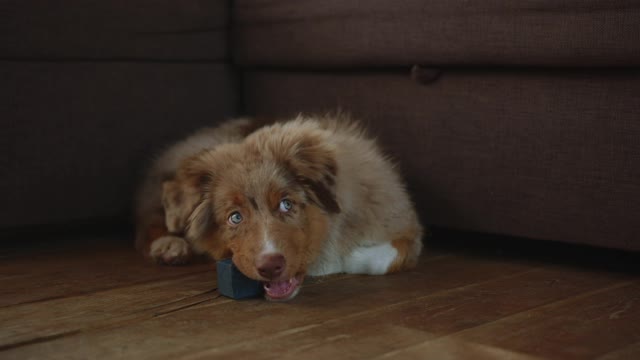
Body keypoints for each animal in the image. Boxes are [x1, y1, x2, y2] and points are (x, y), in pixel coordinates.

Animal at [135, 114, 424, 300]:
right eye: (235, 217)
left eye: (287, 204)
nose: (270, 266)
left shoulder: (406, 227)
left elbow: (380, 258)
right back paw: (169, 246)